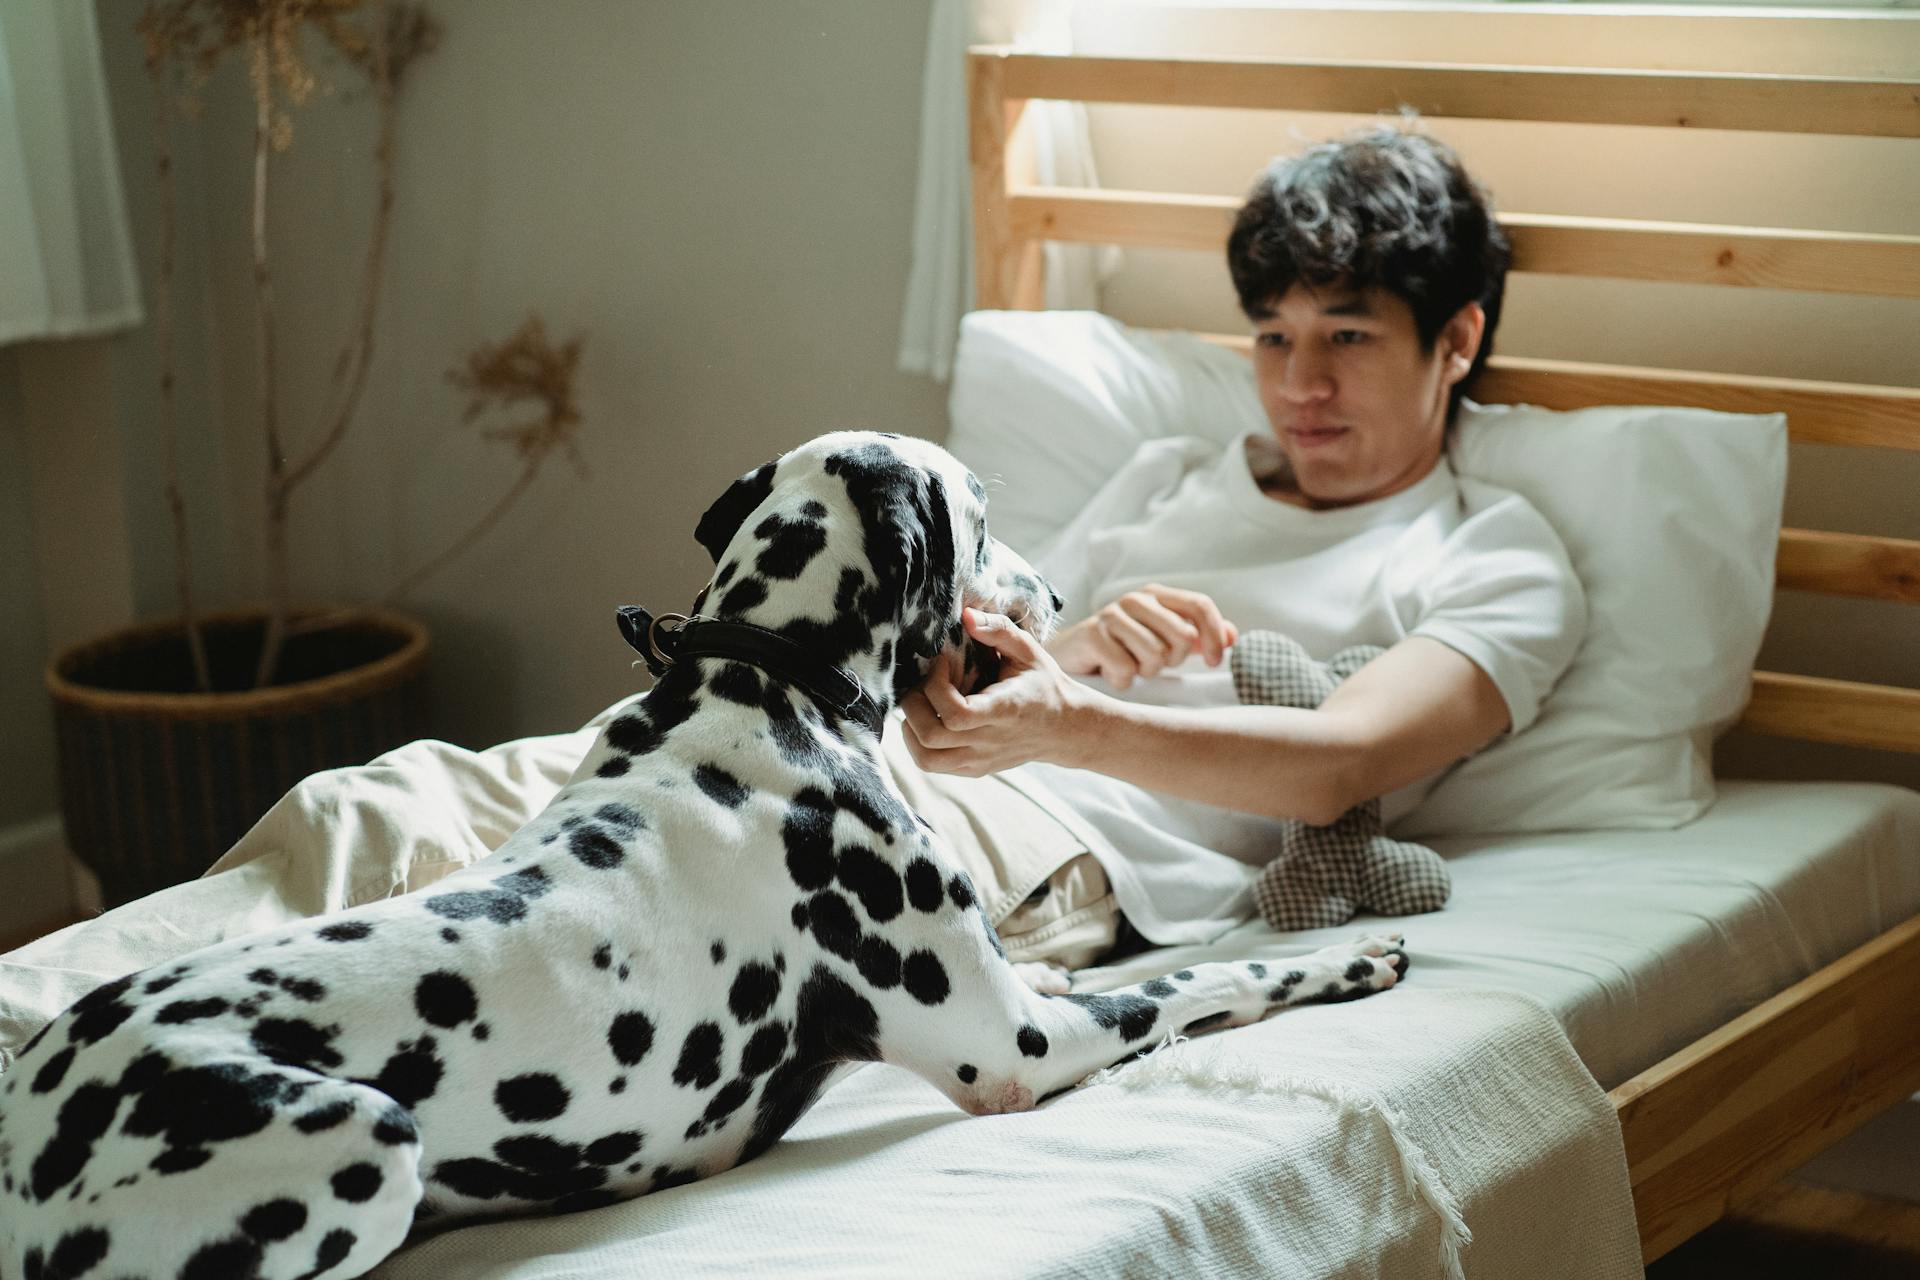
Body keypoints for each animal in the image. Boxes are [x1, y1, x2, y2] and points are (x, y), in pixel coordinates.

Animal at [3, 433, 1413, 1280]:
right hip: (364, 1135)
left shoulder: (1026, 996)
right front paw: (1351, 957)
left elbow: (1131, 972)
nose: (1059, 596)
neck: (763, 682)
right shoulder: (1018, 1046)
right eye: (982, 513)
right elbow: (1203, 980)